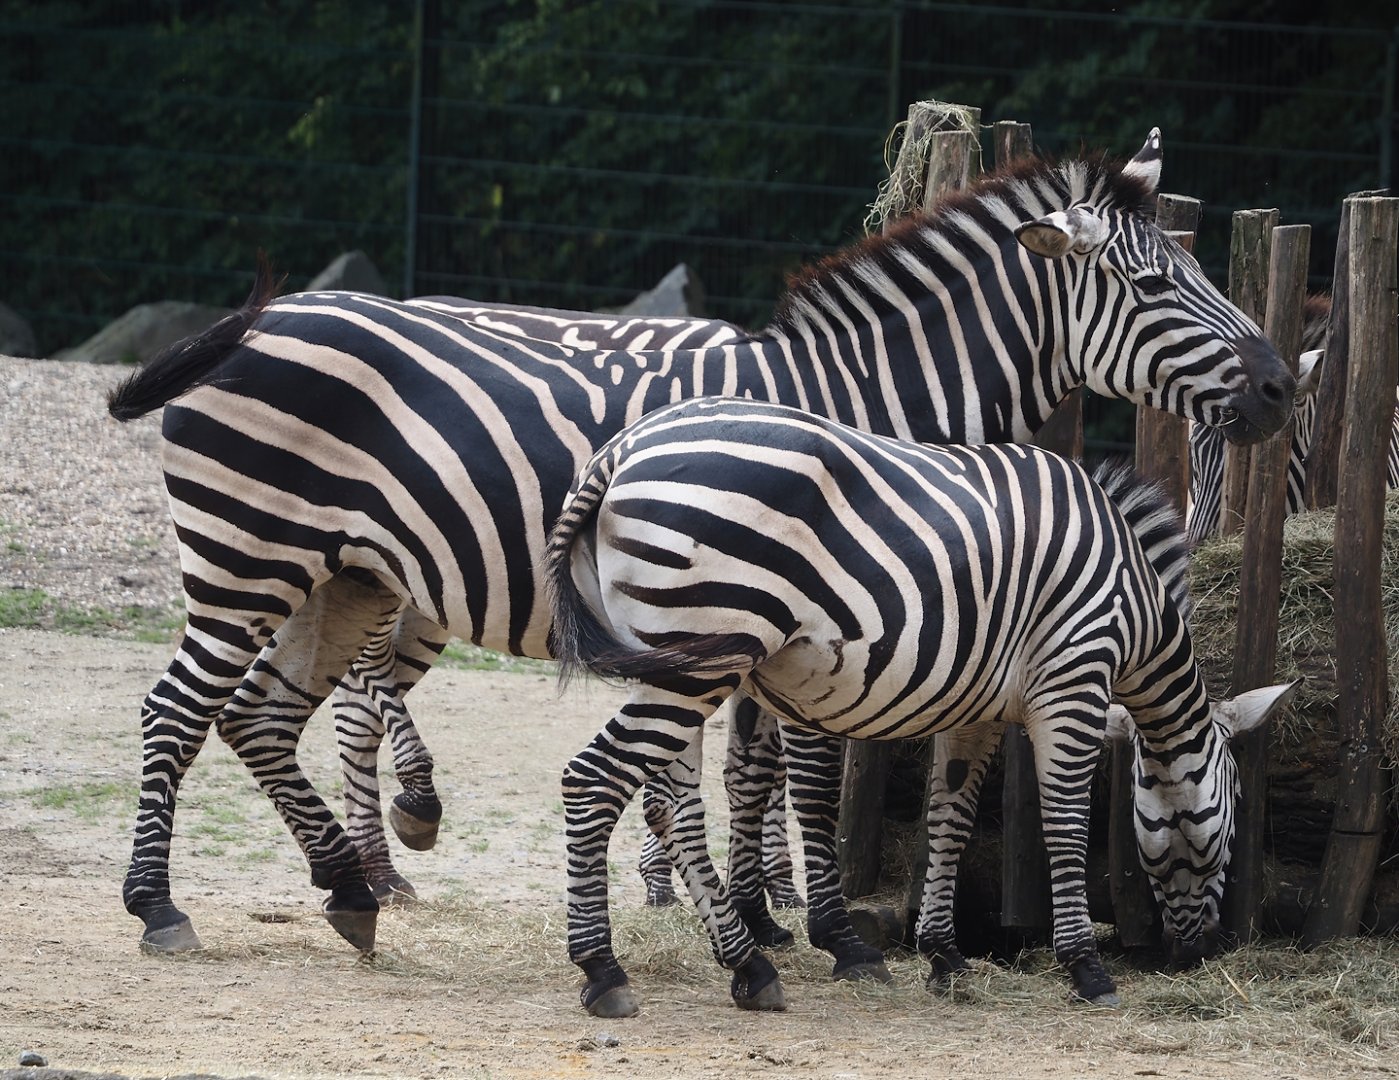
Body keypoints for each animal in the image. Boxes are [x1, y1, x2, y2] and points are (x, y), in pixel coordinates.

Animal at [545, 396, 1298, 1016]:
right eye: (1232, 816)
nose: (1196, 953)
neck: (1134, 600)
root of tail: (620, 449)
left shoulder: (978, 711)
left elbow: (950, 819)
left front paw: (944, 956)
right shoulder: (1073, 680)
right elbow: (1064, 824)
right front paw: (1085, 967)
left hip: (675, 665)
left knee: (670, 805)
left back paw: (749, 967)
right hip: (698, 657)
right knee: (592, 780)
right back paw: (603, 971)